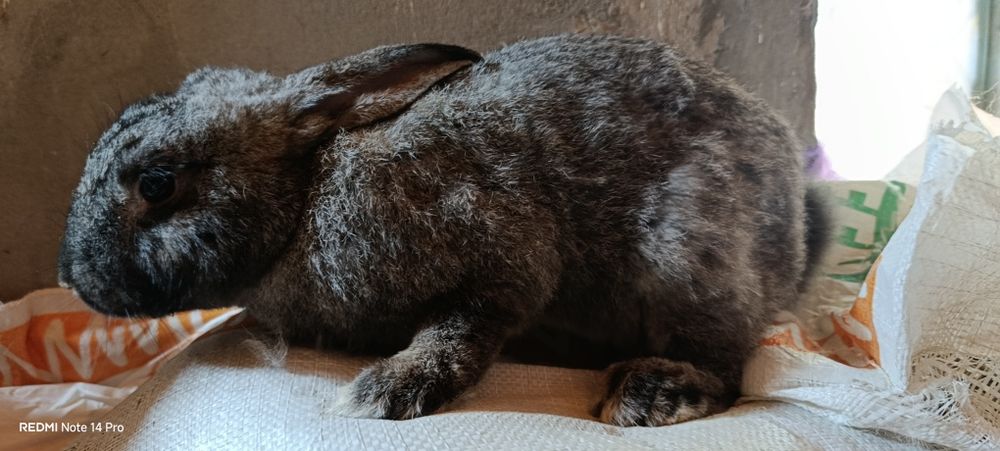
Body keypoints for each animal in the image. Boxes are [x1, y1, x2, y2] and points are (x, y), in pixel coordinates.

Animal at [58, 34, 829, 427]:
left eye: (158, 183)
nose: (70, 275)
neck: (304, 194)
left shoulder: (501, 258)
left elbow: (463, 329)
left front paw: (387, 389)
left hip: (686, 256)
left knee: (728, 367)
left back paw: (652, 392)